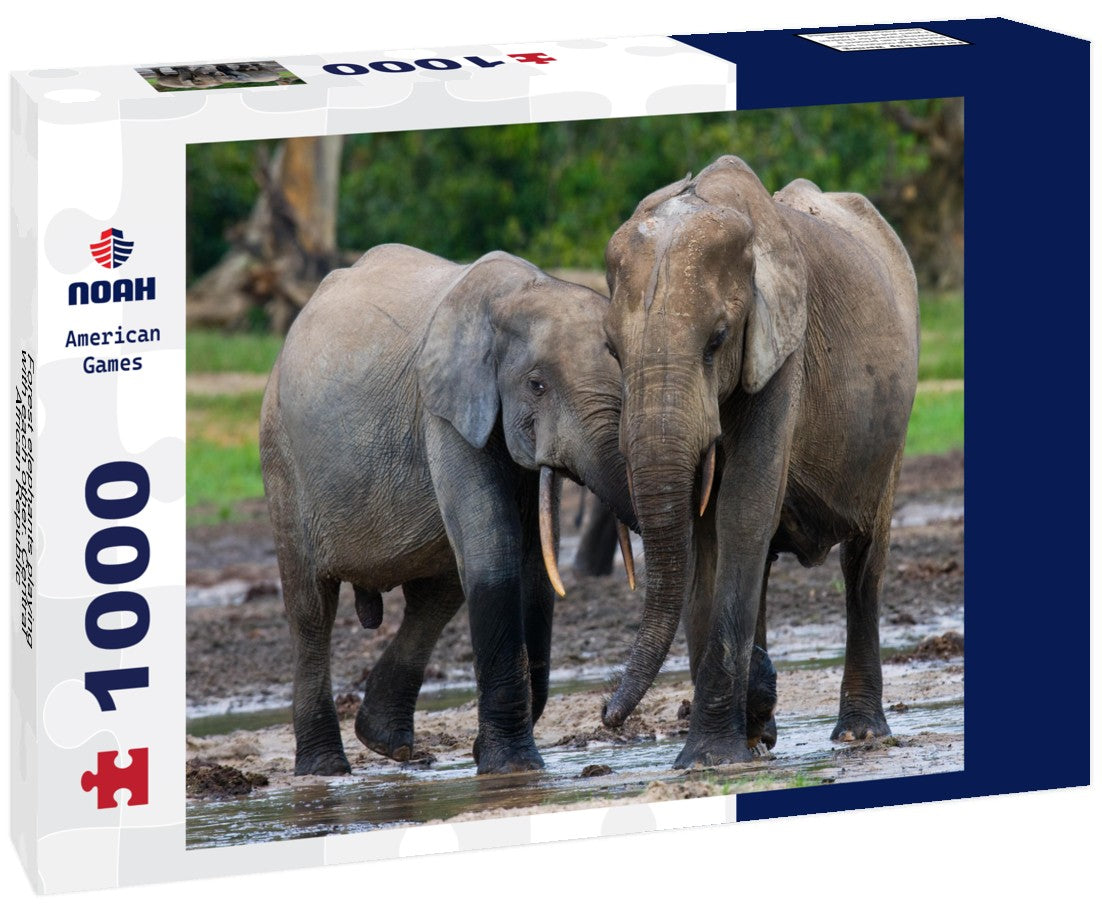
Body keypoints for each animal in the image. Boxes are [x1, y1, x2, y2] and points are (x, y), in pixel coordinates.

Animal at [260, 243, 637, 776]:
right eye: (537, 385)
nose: (608, 714)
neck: (520, 293)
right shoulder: (445, 412)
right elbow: (495, 551)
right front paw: (512, 768)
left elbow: (534, 569)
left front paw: (493, 756)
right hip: (282, 456)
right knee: (312, 609)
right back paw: (325, 770)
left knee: (437, 594)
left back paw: (385, 743)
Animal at [599, 155, 919, 768]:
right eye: (611, 352)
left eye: (717, 340)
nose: (606, 715)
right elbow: (705, 533)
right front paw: (737, 735)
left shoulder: (782, 352)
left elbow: (742, 509)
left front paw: (710, 758)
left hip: (891, 434)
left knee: (863, 565)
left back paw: (859, 734)